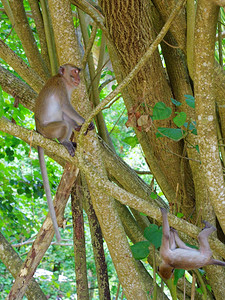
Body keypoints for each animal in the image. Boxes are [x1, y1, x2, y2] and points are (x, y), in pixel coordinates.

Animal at [34, 63, 94, 241]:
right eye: (74, 72)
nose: (79, 78)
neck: (63, 80)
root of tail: (38, 129)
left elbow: (67, 111)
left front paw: (81, 126)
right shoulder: (61, 87)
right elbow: (67, 107)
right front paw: (84, 121)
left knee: (65, 118)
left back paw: (73, 136)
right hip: (50, 130)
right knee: (64, 122)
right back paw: (65, 142)